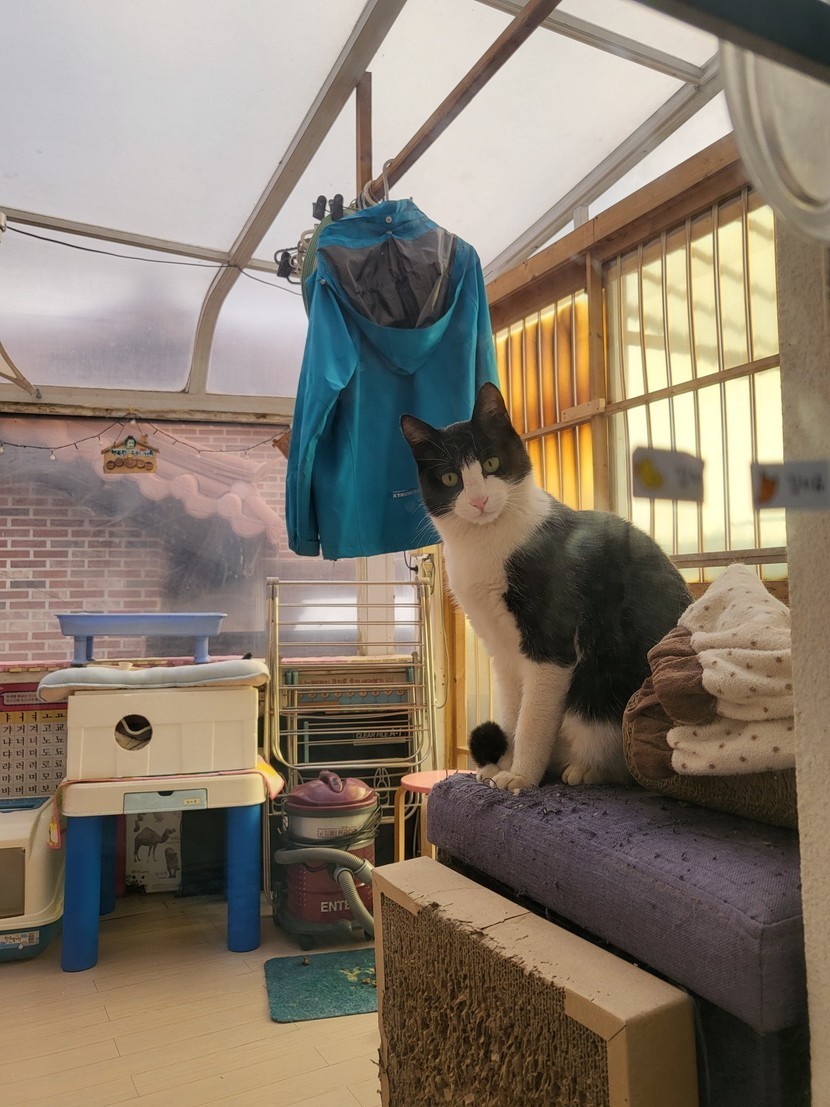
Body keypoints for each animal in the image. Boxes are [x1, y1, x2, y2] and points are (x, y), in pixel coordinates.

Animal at [401, 381, 692, 793]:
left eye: (491, 464)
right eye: (450, 479)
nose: (479, 500)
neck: (486, 544)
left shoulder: (550, 644)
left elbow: (532, 718)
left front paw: (521, 776)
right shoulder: (501, 649)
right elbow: (512, 712)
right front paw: (500, 767)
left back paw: (587, 770)